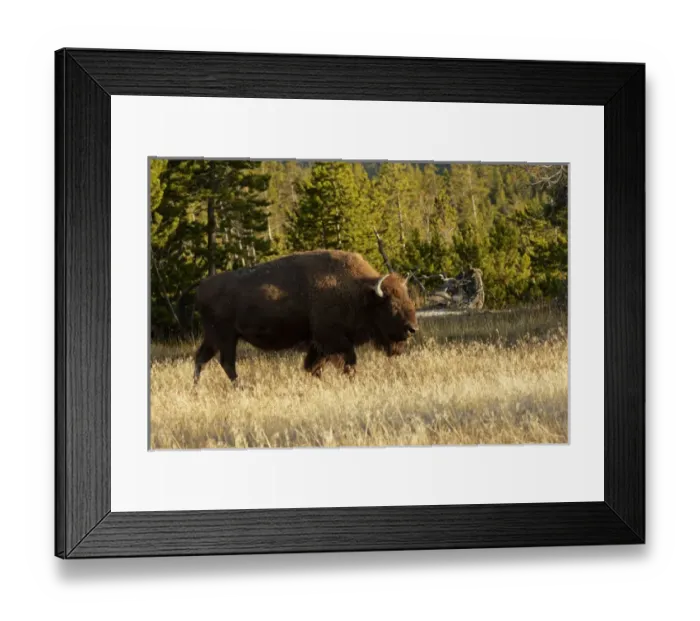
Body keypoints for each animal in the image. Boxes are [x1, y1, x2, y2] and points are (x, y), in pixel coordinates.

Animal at [189, 250, 418, 383]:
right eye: (391, 304)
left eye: (407, 296)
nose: (412, 328)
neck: (359, 290)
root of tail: (202, 286)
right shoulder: (332, 340)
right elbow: (348, 363)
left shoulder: (318, 344)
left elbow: (313, 366)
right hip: (226, 338)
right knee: (227, 363)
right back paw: (240, 387)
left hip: (214, 338)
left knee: (201, 358)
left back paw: (197, 388)